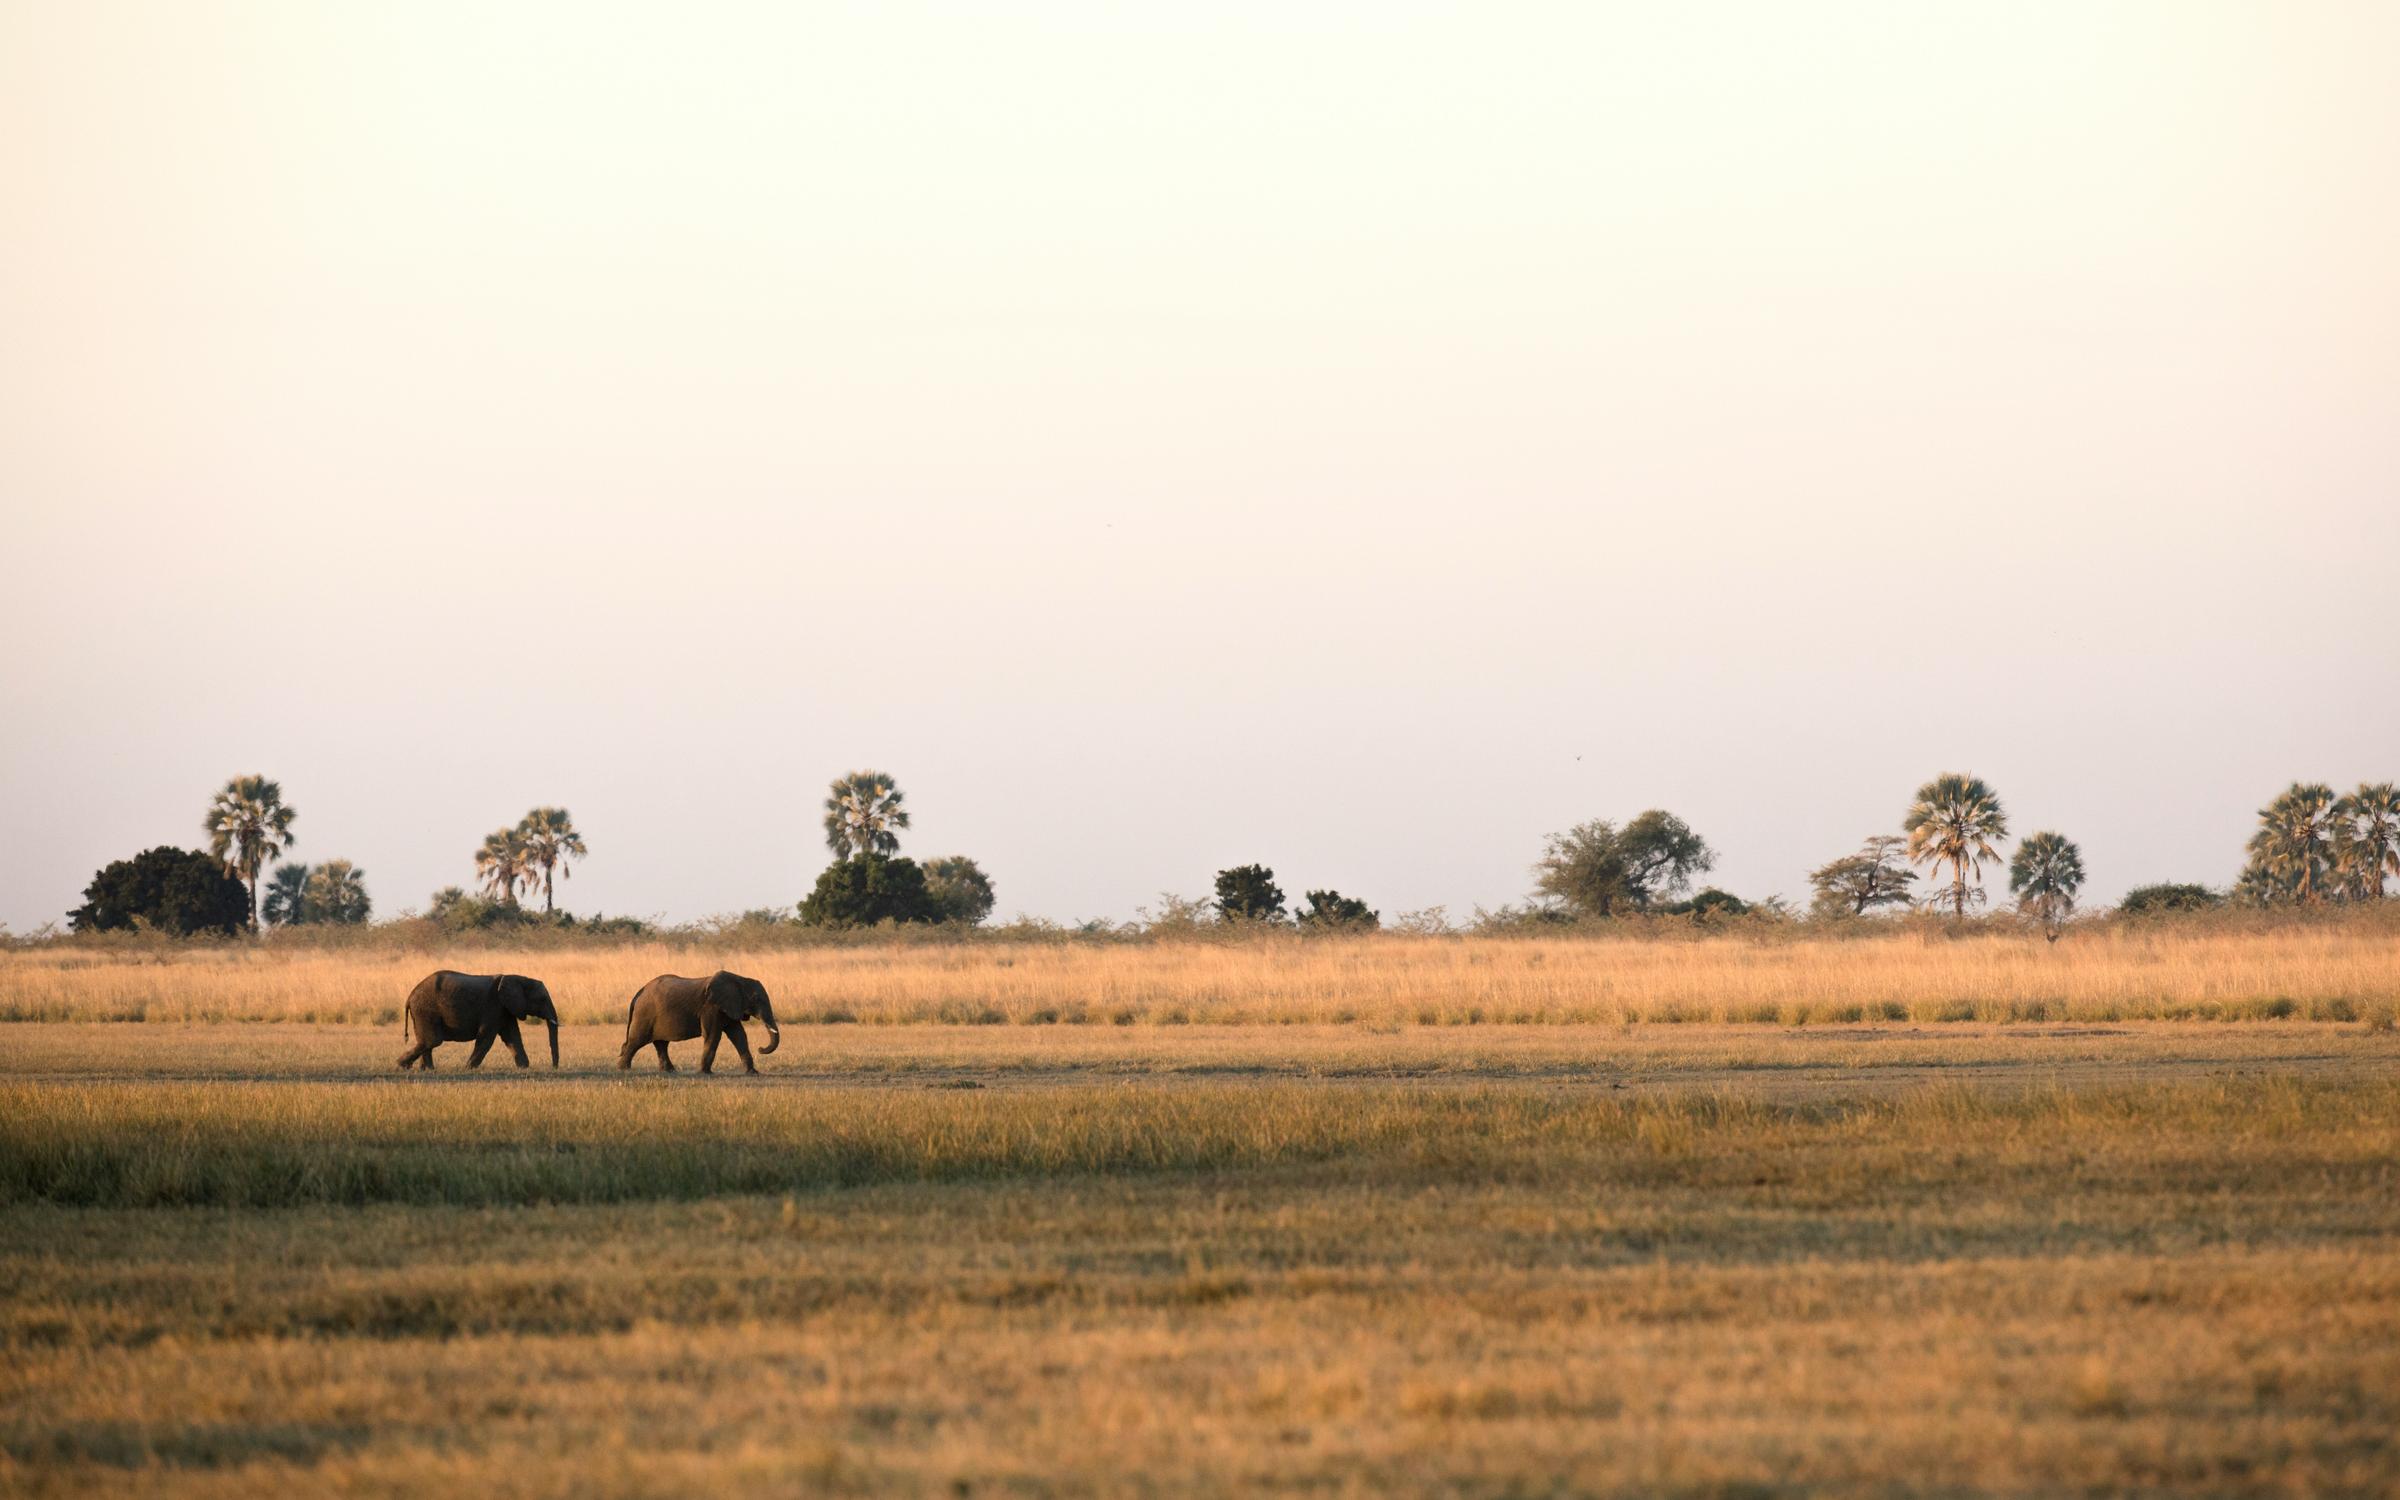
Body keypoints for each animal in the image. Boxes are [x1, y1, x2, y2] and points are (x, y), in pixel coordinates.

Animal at [396, 971, 560, 1070]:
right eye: (542, 999)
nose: (554, 1067)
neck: (517, 978)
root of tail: (410, 996)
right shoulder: (493, 1006)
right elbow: (486, 1038)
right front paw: (468, 1068)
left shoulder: (505, 1009)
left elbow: (512, 1037)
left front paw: (524, 1068)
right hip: (426, 1010)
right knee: (432, 1040)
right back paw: (403, 1065)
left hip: (421, 1013)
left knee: (426, 1041)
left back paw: (425, 1069)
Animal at [619, 971, 780, 1073]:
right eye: (756, 999)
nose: (760, 1048)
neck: (739, 978)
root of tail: (639, 992)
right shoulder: (710, 1007)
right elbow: (713, 1035)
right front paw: (705, 1073)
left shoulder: (729, 1007)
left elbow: (739, 1035)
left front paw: (753, 1072)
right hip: (644, 1014)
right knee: (636, 1041)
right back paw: (623, 1069)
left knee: (661, 1044)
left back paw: (670, 1071)